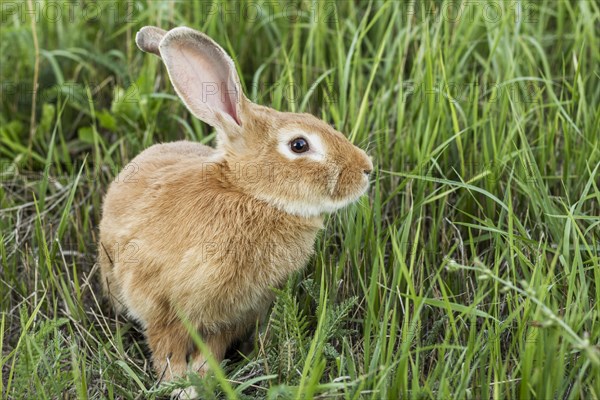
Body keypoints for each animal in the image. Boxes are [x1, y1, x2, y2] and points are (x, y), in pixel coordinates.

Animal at [98, 25, 370, 384]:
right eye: (299, 145)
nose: (366, 169)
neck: (249, 194)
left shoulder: (235, 313)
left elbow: (214, 346)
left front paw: (203, 377)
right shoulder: (157, 300)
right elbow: (165, 345)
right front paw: (179, 382)